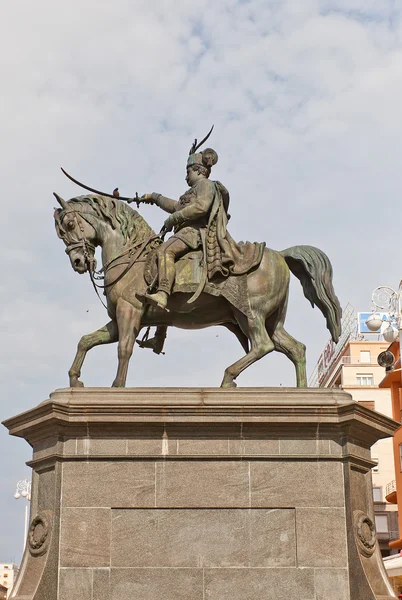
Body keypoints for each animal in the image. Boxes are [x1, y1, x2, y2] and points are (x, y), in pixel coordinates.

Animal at [54, 193, 342, 390]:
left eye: (69, 225)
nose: (77, 262)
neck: (131, 255)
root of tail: (280, 255)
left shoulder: (129, 311)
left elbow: (124, 349)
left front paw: (117, 386)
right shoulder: (119, 319)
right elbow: (86, 340)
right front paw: (75, 379)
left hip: (249, 314)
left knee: (263, 344)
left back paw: (227, 378)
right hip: (272, 320)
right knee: (295, 348)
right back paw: (303, 392)